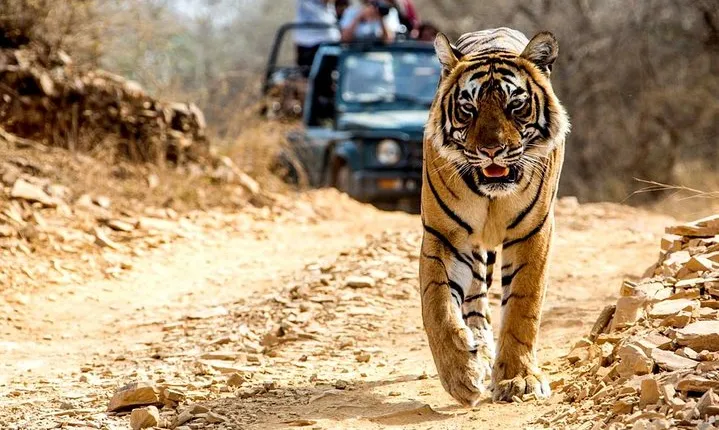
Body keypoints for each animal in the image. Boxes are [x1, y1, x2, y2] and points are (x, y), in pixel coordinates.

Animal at [419, 27, 570, 406]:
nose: (491, 150)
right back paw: (479, 350)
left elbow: (522, 308)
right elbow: (437, 306)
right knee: (474, 301)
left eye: (515, 105)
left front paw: (519, 380)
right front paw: (461, 374)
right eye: (468, 109)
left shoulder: (533, 233)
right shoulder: (444, 235)